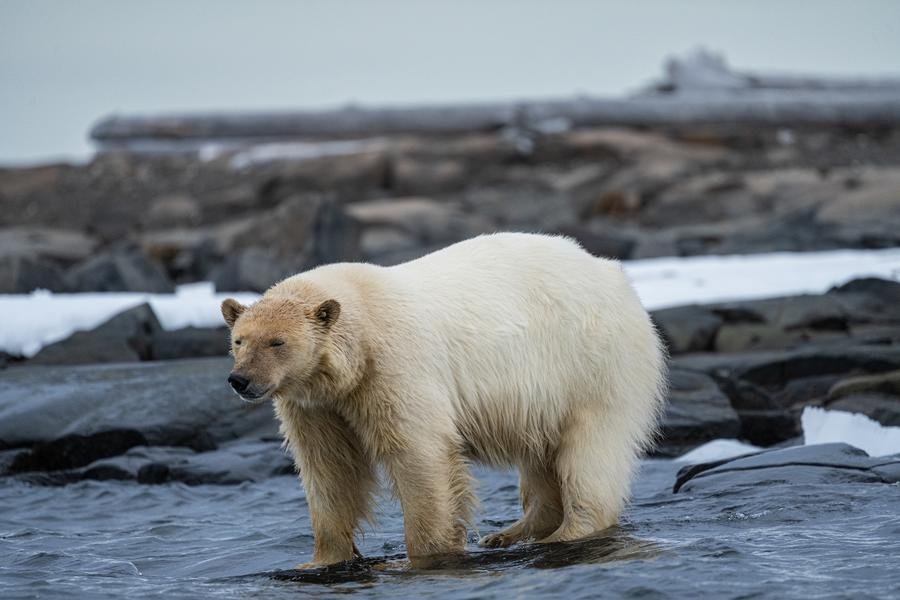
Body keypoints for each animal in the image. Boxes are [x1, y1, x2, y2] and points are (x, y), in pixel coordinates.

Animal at [220, 232, 667, 568]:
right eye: (239, 340)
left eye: (277, 342)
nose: (240, 380)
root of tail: (614, 274)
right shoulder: (315, 404)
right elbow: (330, 468)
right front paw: (321, 560)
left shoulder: (394, 366)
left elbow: (419, 453)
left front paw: (427, 555)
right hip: (545, 392)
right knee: (540, 453)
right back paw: (509, 534)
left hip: (590, 362)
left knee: (591, 448)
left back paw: (567, 532)